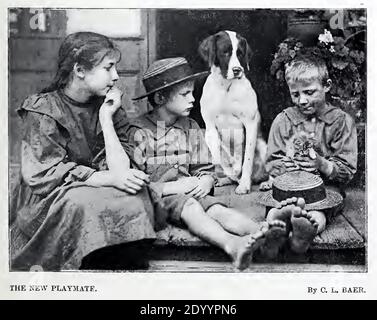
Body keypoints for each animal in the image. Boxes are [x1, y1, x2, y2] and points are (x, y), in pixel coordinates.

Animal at [198, 30, 266, 195]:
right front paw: (230, 173)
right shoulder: (210, 128)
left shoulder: (251, 125)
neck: (225, 87)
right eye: (225, 52)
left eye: (240, 53)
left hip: (263, 146)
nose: (237, 70)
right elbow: (219, 157)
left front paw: (244, 184)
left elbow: (247, 159)